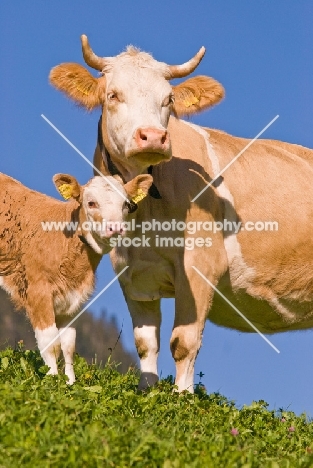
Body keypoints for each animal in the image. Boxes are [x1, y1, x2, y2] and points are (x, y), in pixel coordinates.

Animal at [0, 172, 152, 384]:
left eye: (126, 204)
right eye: (91, 203)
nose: (115, 228)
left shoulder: (72, 300)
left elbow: (68, 345)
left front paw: (70, 382)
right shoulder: (38, 292)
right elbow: (51, 343)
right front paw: (52, 380)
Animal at [47, 36, 312, 394]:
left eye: (168, 99)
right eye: (113, 95)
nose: (153, 136)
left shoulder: (200, 265)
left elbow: (184, 342)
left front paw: (182, 397)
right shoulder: (132, 273)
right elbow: (146, 343)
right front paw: (148, 392)